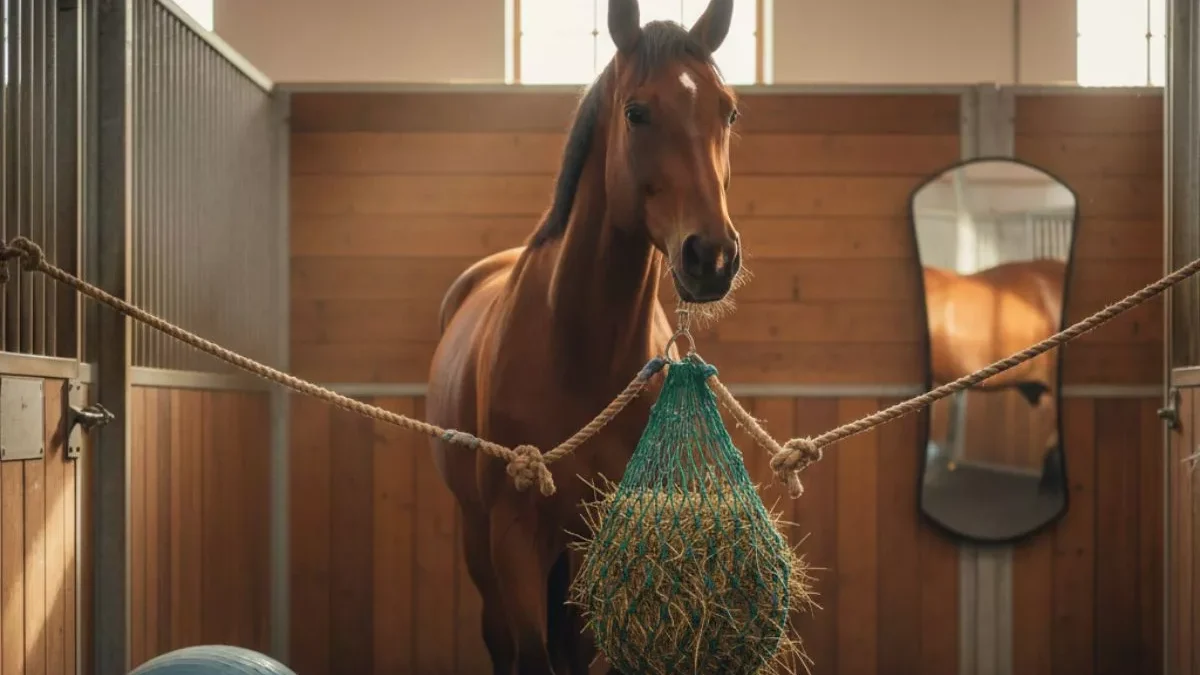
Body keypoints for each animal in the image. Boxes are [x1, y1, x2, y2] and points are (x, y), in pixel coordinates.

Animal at [426, 2, 743, 673]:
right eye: (636, 111)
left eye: (728, 111)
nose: (713, 257)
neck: (579, 352)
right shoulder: (515, 535)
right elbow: (529, 653)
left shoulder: (604, 534)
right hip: (478, 537)